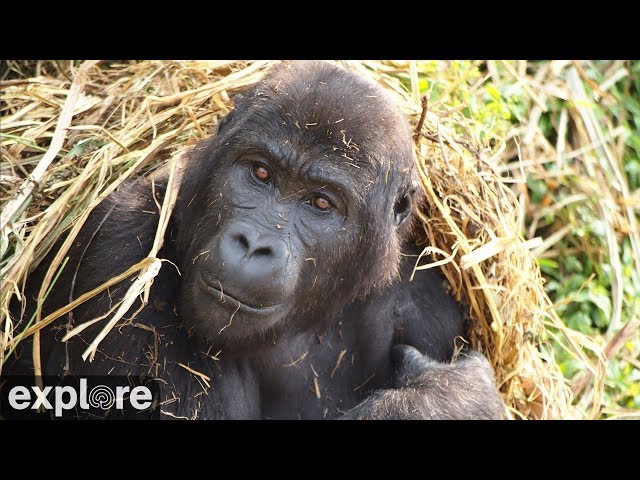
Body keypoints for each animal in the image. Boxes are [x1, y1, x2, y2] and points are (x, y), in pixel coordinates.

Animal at [6, 61, 504, 420]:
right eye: (260, 173)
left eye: (320, 203)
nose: (253, 244)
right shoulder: (121, 250)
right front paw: (455, 398)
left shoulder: (427, 299)